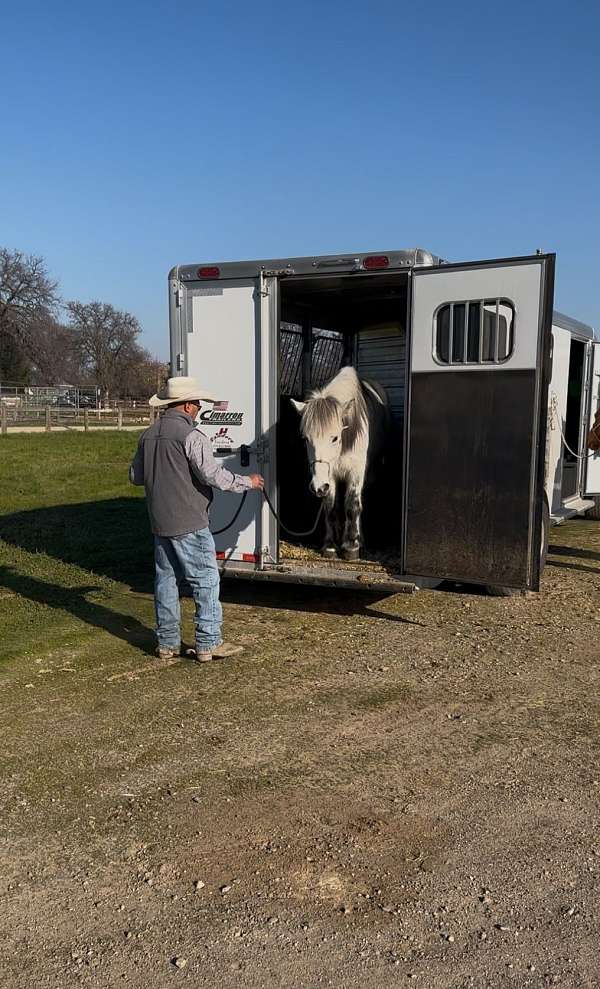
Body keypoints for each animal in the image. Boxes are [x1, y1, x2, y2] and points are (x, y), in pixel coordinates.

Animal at [290, 364, 390, 564]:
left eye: (335, 438)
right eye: (305, 438)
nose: (317, 486)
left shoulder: (355, 473)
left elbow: (352, 505)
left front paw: (351, 546)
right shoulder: (329, 476)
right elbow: (330, 507)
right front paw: (330, 546)